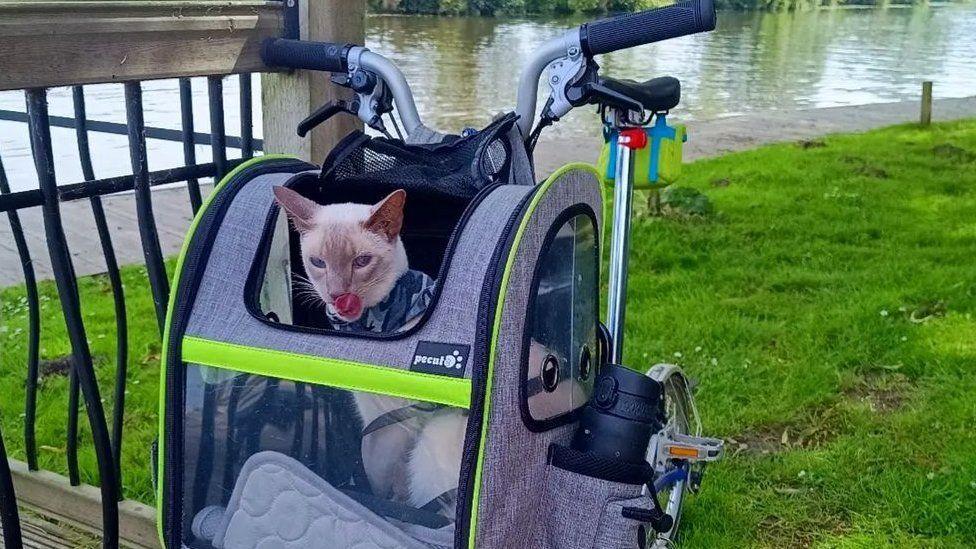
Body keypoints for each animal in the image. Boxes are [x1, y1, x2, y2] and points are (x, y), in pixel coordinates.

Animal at [272, 185, 468, 524]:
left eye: (362, 261)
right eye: (318, 262)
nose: (338, 296)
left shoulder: (387, 429)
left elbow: (378, 483)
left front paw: (385, 506)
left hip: (435, 435)